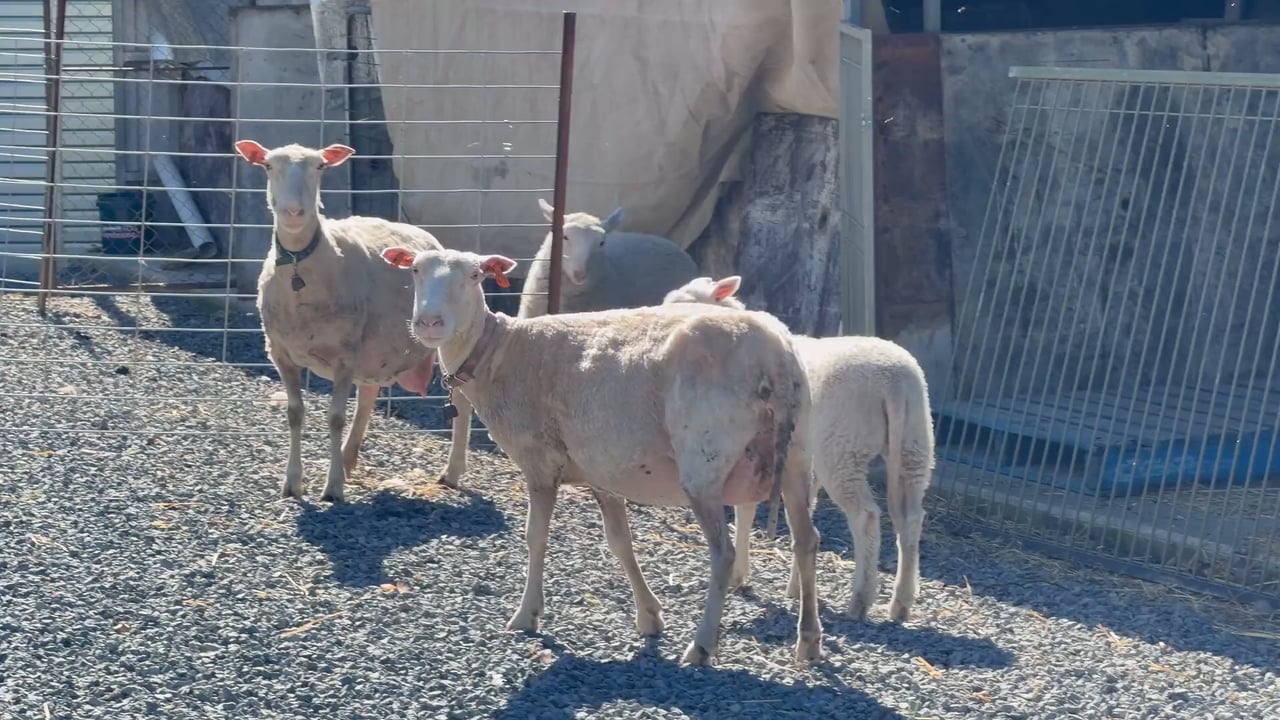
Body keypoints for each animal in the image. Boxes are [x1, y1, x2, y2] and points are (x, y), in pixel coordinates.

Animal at [234, 139, 444, 504]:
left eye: (319, 167)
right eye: (268, 166)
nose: (293, 212)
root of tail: (420, 231)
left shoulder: (344, 357)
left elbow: (335, 418)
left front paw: (332, 488)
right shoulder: (281, 354)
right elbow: (295, 413)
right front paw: (293, 482)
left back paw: (452, 472)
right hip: (373, 351)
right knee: (369, 396)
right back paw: (347, 460)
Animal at [380, 246, 823, 666]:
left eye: (475, 275)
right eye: (415, 270)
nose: (430, 323)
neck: (499, 352)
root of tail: (774, 357)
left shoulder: (539, 461)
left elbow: (535, 537)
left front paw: (526, 615)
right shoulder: (602, 473)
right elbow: (620, 543)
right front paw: (649, 617)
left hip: (705, 462)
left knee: (724, 553)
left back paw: (701, 646)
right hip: (798, 458)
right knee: (806, 541)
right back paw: (808, 642)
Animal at [664, 275, 935, 622]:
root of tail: (894, 383)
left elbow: (746, 511)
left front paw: (740, 575)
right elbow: (804, 514)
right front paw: (797, 587)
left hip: (842, 448)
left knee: (866, 516)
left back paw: (861, 599)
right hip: (916, 442)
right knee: (911, 517)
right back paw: (901, 602)